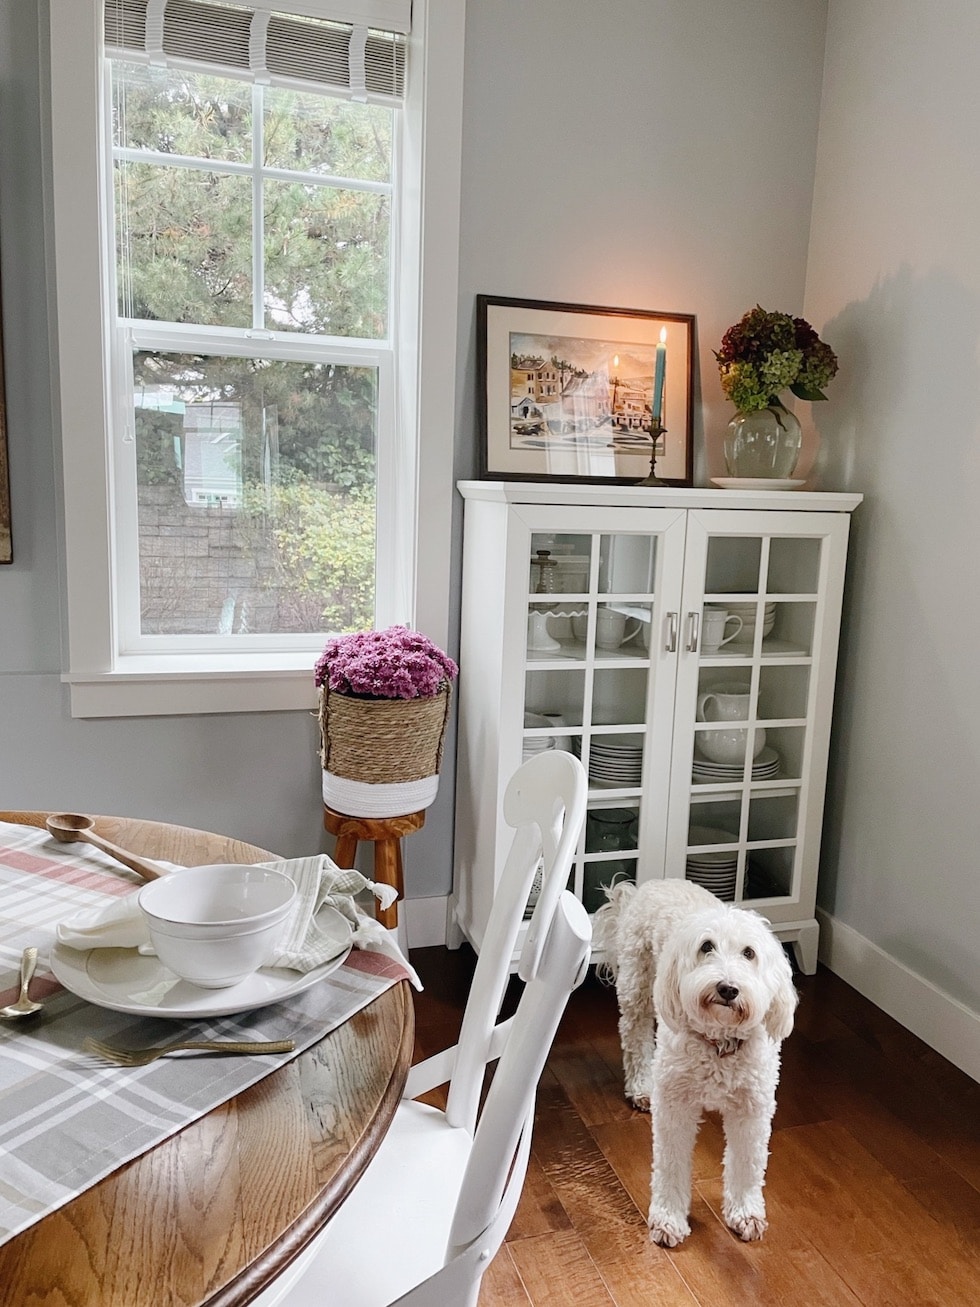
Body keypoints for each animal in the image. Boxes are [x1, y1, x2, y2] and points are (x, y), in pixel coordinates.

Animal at [598, 878, 799, 1244]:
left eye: (749, 953)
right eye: (707, 947)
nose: (727, 988)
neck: (719, 1043)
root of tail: (653, 883)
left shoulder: (753, 1108)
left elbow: (747, 1163)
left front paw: (745, 1213)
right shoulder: (675, 1106)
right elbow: (670, 1163)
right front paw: (668, 1218)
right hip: (638, 986)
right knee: (634, 1036)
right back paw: (640, 1087)